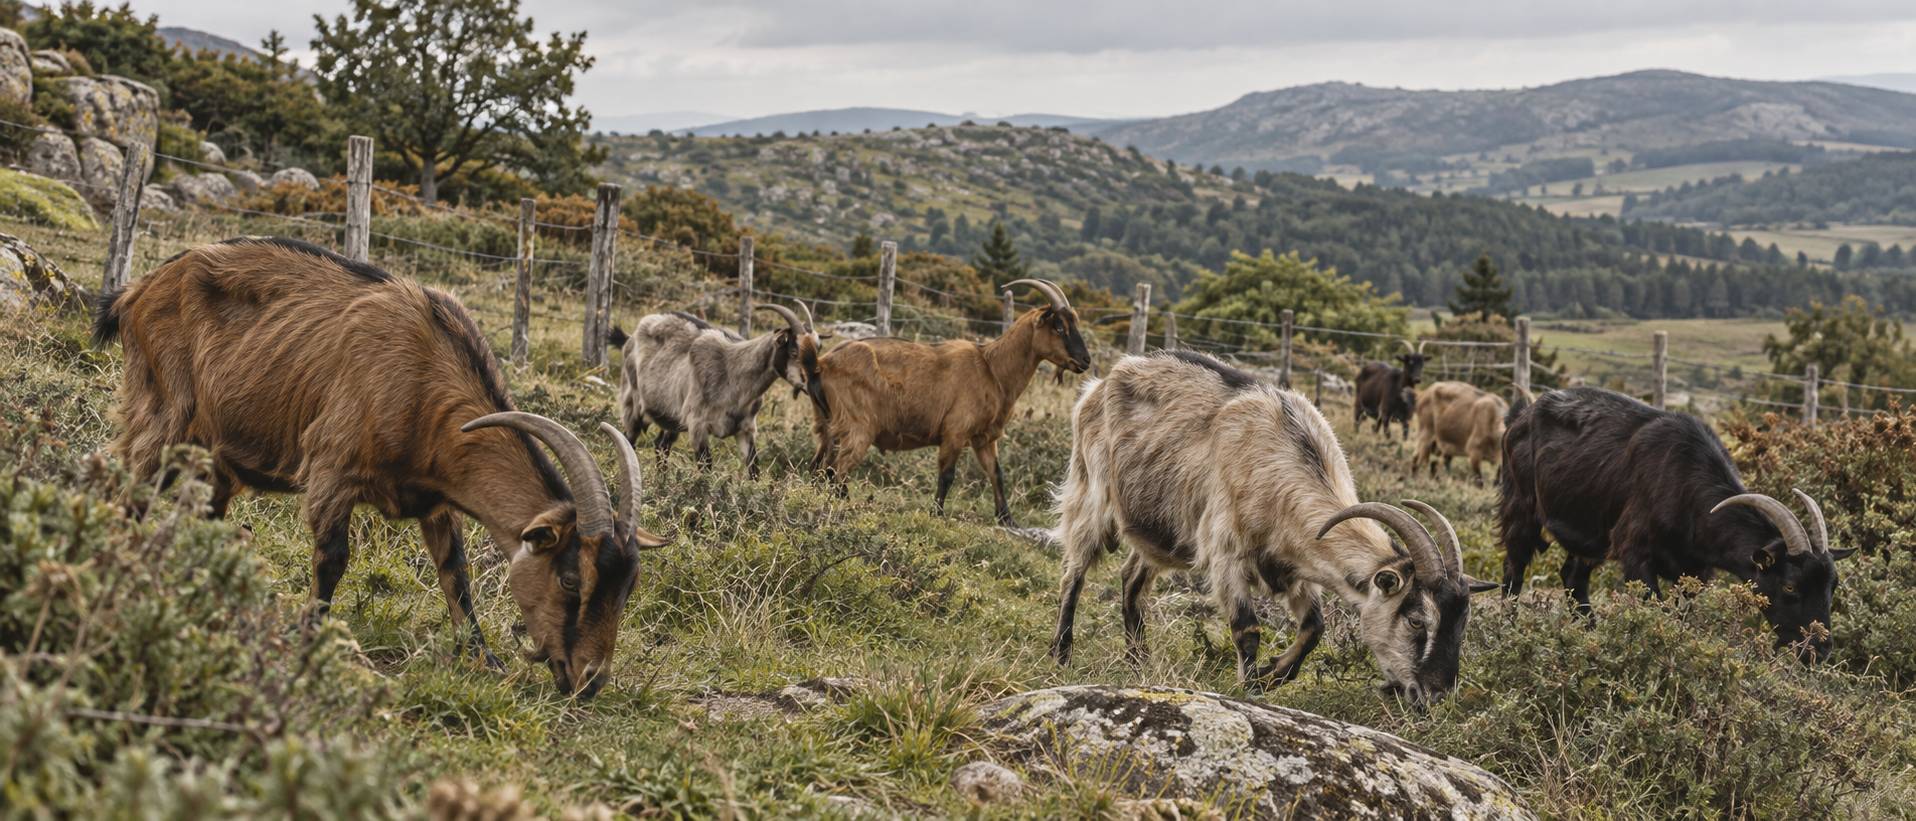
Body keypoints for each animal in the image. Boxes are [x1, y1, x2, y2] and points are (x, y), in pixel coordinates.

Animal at [92, 237, 668, 698]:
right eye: (571, 580)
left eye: (629, 588)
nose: (590, 681)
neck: (423, 380)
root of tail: (137, 291)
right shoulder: (331, 469)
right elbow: (333, 560)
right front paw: (309, 637)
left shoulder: (437, 500)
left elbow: (455, 573)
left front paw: (483, 657)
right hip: (163, 415)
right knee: (127, 486)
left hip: (214, 455)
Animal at [607, 302, 824, 477]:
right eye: (794, 352)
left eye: (817, 349)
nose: (813, 383)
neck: (732, 373)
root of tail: (630, 338)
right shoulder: (698, 425)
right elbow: (706, 468)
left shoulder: (745, 429)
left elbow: (754, 468)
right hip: (632, 404)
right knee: (628, 440)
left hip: (672, 418)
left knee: (661, 446)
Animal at [803, 278, 1090, 527]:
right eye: (1059, 327)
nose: (1085, 361)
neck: (992, 369)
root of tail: (821, 364)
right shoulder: (955, 431)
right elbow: (947, 474)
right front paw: (937, 514)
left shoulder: (984, 438)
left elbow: (996, 473)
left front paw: (1007, 519)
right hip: (858, 427)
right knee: (837, 469)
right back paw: (844, 504)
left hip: (826, 425)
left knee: (819, 466)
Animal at [1051, 351, 1495, 703]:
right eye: (1417, 620)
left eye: (1462, 623)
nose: (1435, 694)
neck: (1281, 462)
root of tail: (1098, 385)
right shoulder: (1227, 555)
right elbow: (1248, 629)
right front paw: (1250, 688)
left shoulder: (1298, 566)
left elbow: (1314, 628)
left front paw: (1272, 674)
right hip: (1090, 494)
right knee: (1073, 573)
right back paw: (1061, 654)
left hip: (1160, 533)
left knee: (1131, 579)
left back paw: (1138, 662)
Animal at [1499, 386, 1853, 659]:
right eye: (1790, 586)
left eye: (1833, 585)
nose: (1820, 651)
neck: (1686, 483)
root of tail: (1521, 415)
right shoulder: (1635, 552)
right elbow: (1655, 608)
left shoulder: (1695, 571)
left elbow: (1680, 613)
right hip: (1520, 506)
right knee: (1514, 569)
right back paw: (1510, 631)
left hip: (1590, 534)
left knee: (1573, 576)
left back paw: (1588, 635)